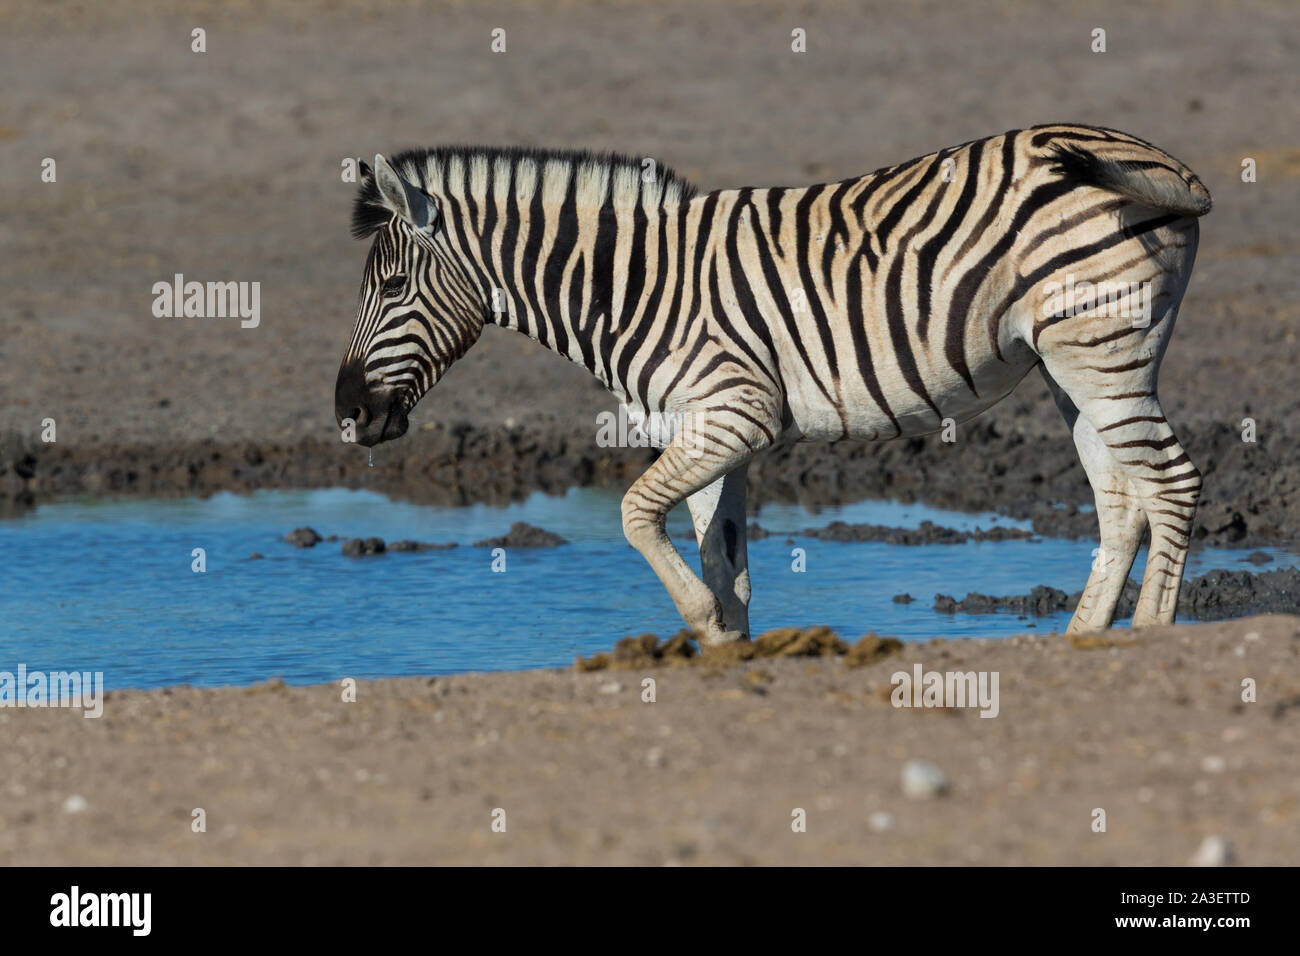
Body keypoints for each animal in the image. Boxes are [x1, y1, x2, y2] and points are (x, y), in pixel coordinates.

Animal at [332, 127, 1206, 647]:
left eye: (396, 287)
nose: (347, 415)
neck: (635, 286)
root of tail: (1158, 157)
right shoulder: (707, 432)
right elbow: (726, 564)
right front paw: (730, 647)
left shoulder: (735, 415)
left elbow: (634, 515)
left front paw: (700, 625)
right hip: (1075, 364)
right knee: (1123, 500)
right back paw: (1080, 643)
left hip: (1101, 348)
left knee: (1172, 484)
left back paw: (1151, 642)